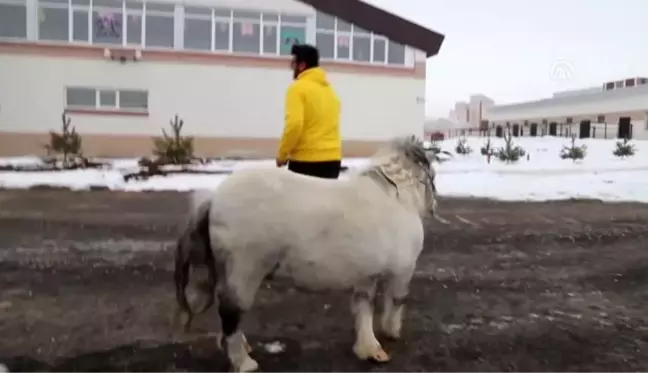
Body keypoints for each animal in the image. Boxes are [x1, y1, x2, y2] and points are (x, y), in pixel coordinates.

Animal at [173, 135, 436, 370]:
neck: (397, 197)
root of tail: (213, 199)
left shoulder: (367, 275)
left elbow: (364, 310)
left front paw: (368, 349)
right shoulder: (402, 272)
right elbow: (396, 301)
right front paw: (391, 332)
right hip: (244, 272)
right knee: (230, 312)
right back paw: (244, 362)